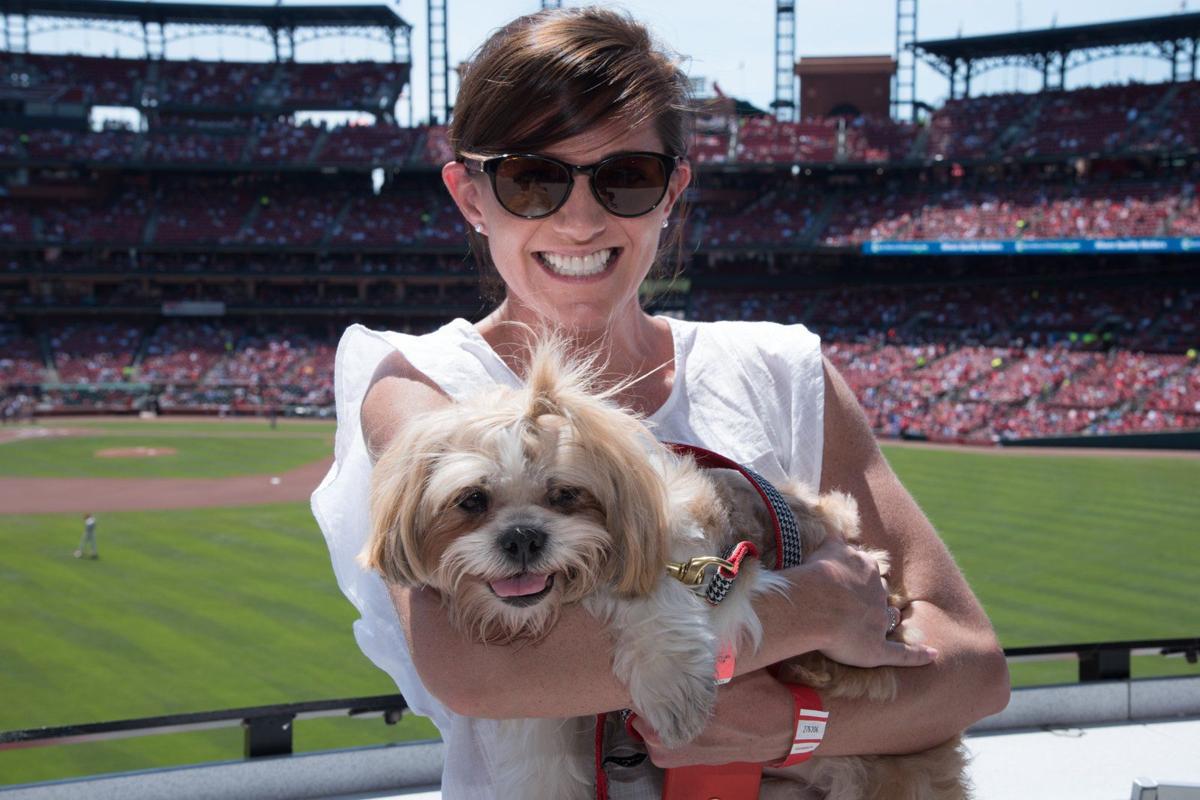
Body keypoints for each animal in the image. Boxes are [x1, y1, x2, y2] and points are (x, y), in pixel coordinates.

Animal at [360, 345, 969, 800]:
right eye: (471, 500)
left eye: (566, 494)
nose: (523, 536)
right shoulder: (551, 718)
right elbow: (545, 757)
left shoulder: (725, 564)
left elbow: (654, 599)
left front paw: (670, 685)